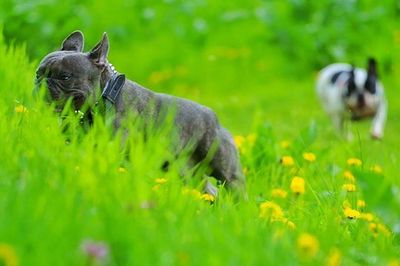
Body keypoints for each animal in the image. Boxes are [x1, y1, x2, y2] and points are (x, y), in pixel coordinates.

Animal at [36, 31, 245, 197]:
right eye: (38, 73)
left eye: (65, 77)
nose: (41, 83)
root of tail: (216, 120)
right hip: (185, 171)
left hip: (227, 173)